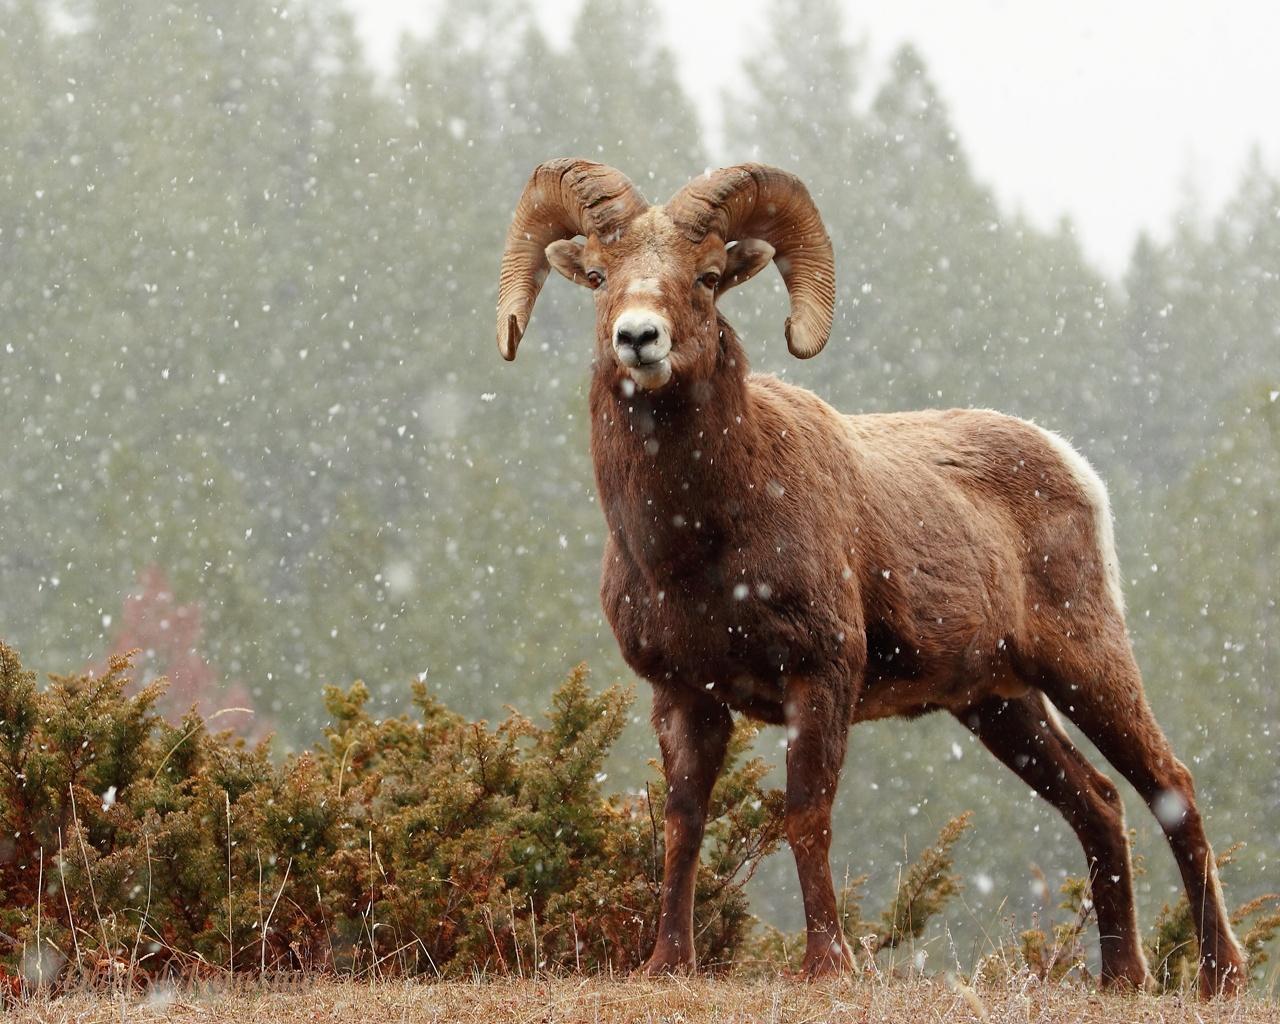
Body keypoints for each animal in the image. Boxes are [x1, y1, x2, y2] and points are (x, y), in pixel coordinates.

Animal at [494, 160, 1244, 998]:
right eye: (597, 276)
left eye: (709, 277)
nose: (638, 338)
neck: (692, 543)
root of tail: (1073, 466)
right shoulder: (684, 695)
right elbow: (683, 822)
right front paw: (666, 964)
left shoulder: (820, 675)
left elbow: (805, 816)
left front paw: (828, 965)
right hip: (999, 705)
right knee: (1100, 804)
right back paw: (1120, 978)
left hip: (1086, 663)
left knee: (1170, 786)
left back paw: (1220, 975)